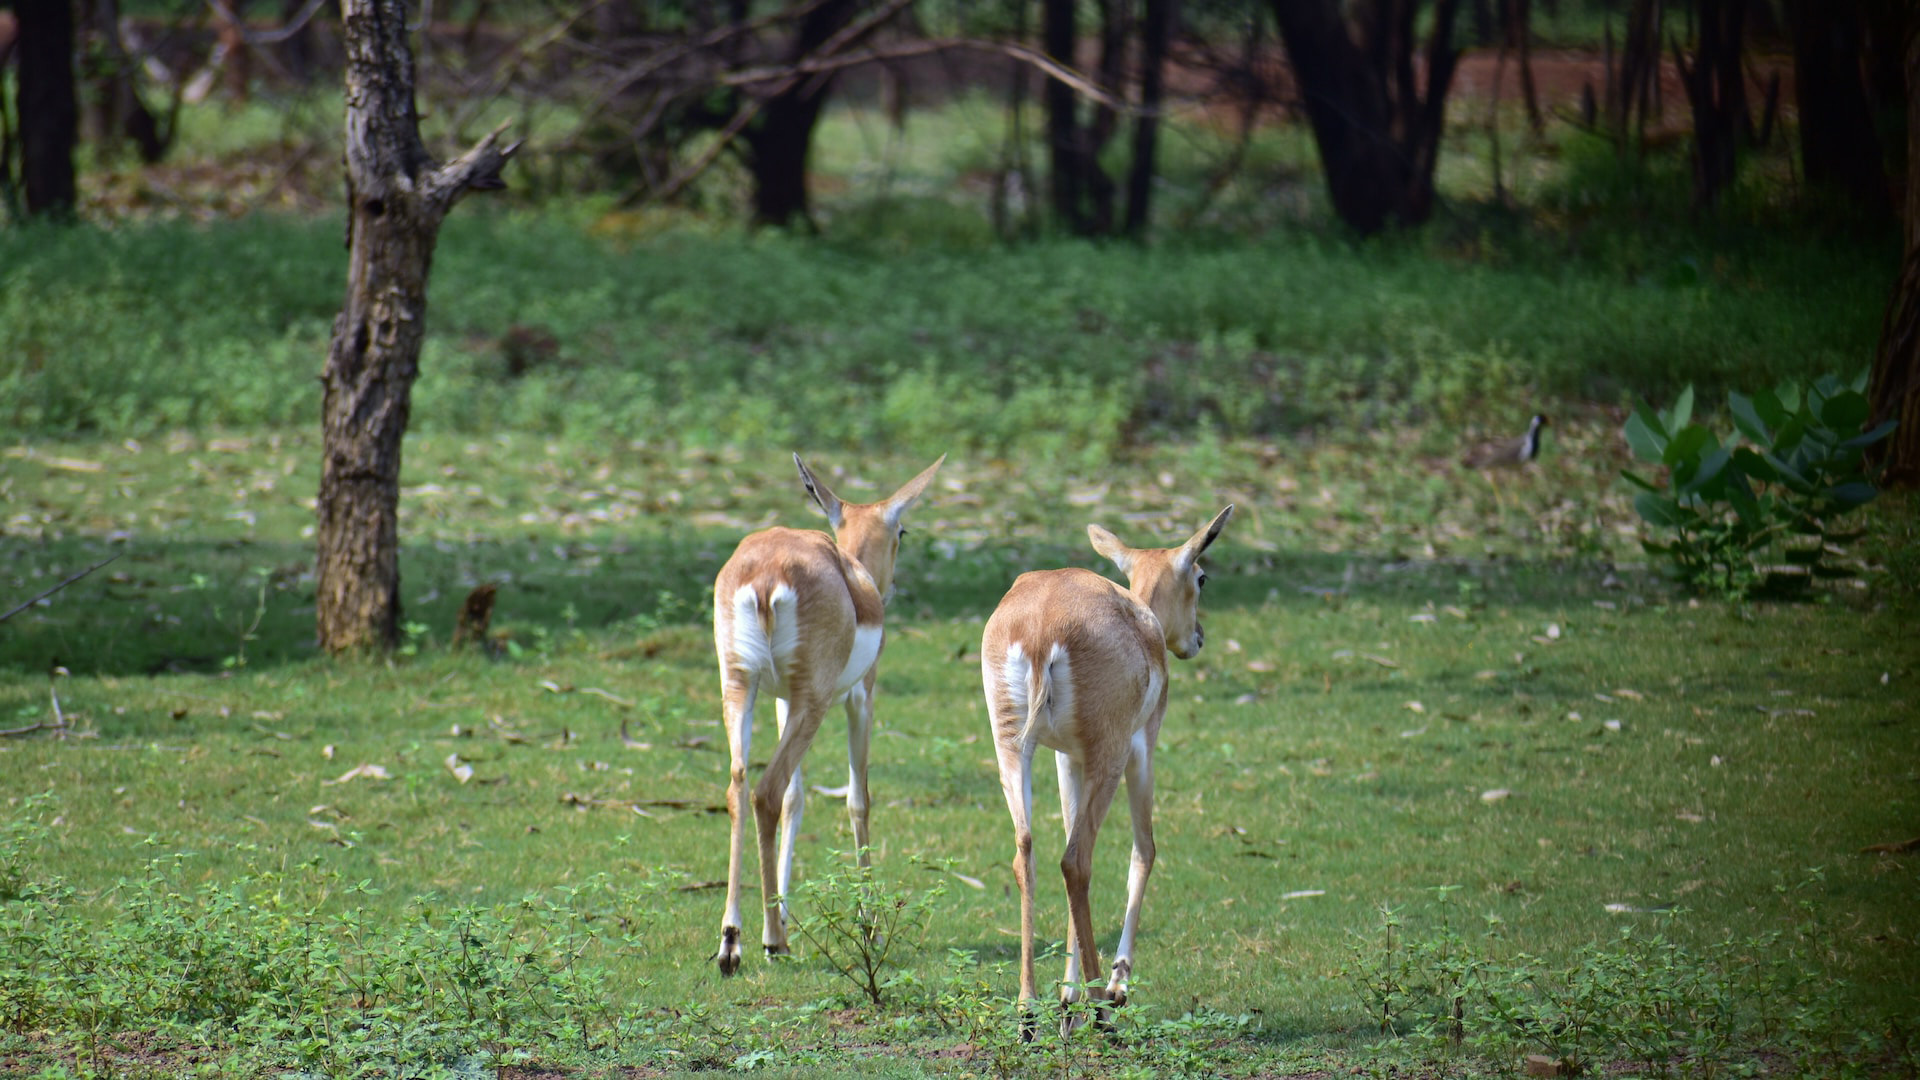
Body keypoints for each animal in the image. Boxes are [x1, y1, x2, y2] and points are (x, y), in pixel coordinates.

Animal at [710, 449, 940, 972]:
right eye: (902, 531)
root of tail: (767, 574)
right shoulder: (860, 697)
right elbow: (859, 798)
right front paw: (870, 925)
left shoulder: (782, 698)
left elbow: (798, 799)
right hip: (813, 703)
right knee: (766, 792)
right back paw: (771, 939)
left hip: (741, 685)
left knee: (740, 785)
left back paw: (732, 940)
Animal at [983, 503, 1236, 1022]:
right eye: (1201, 577)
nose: (1199, 637)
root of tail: (1042, 628)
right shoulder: (1141, 749)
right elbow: (1145, 849)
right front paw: (1116, 985)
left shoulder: (1066, 757)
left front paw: (1068, 993)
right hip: (1111, 756)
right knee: (1077, 860)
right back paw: (1102, 1004)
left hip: (1013, 747)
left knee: (1027, 851)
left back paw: (1028, 1009)